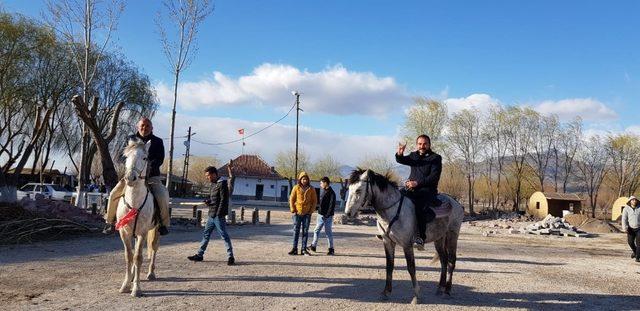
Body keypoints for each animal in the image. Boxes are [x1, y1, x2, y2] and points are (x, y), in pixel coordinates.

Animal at [118, 139, 162, 298]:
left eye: (145, 158)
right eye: (125, 157)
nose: (130, 178)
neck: (135, 203)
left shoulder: (142, 232)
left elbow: (138, 257)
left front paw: (136, 289)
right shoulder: (124, 232)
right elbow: (128, 256)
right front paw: (126, 284)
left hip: (156, 230)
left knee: (154, 249)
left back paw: (151, 273)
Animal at [344, 169, 464, 306]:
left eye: (358, 190)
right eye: (349, 189)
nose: (348, 213)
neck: (392, 210)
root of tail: (456, 203)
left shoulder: (407, 244)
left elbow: (411, 268)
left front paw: (416, 296)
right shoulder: (387, 242)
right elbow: (389, 266)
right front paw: (386, 292)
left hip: (452, 235)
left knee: (451, 261)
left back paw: (447, 291)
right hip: (439, 238)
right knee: (444, 260)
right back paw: (440, 288)